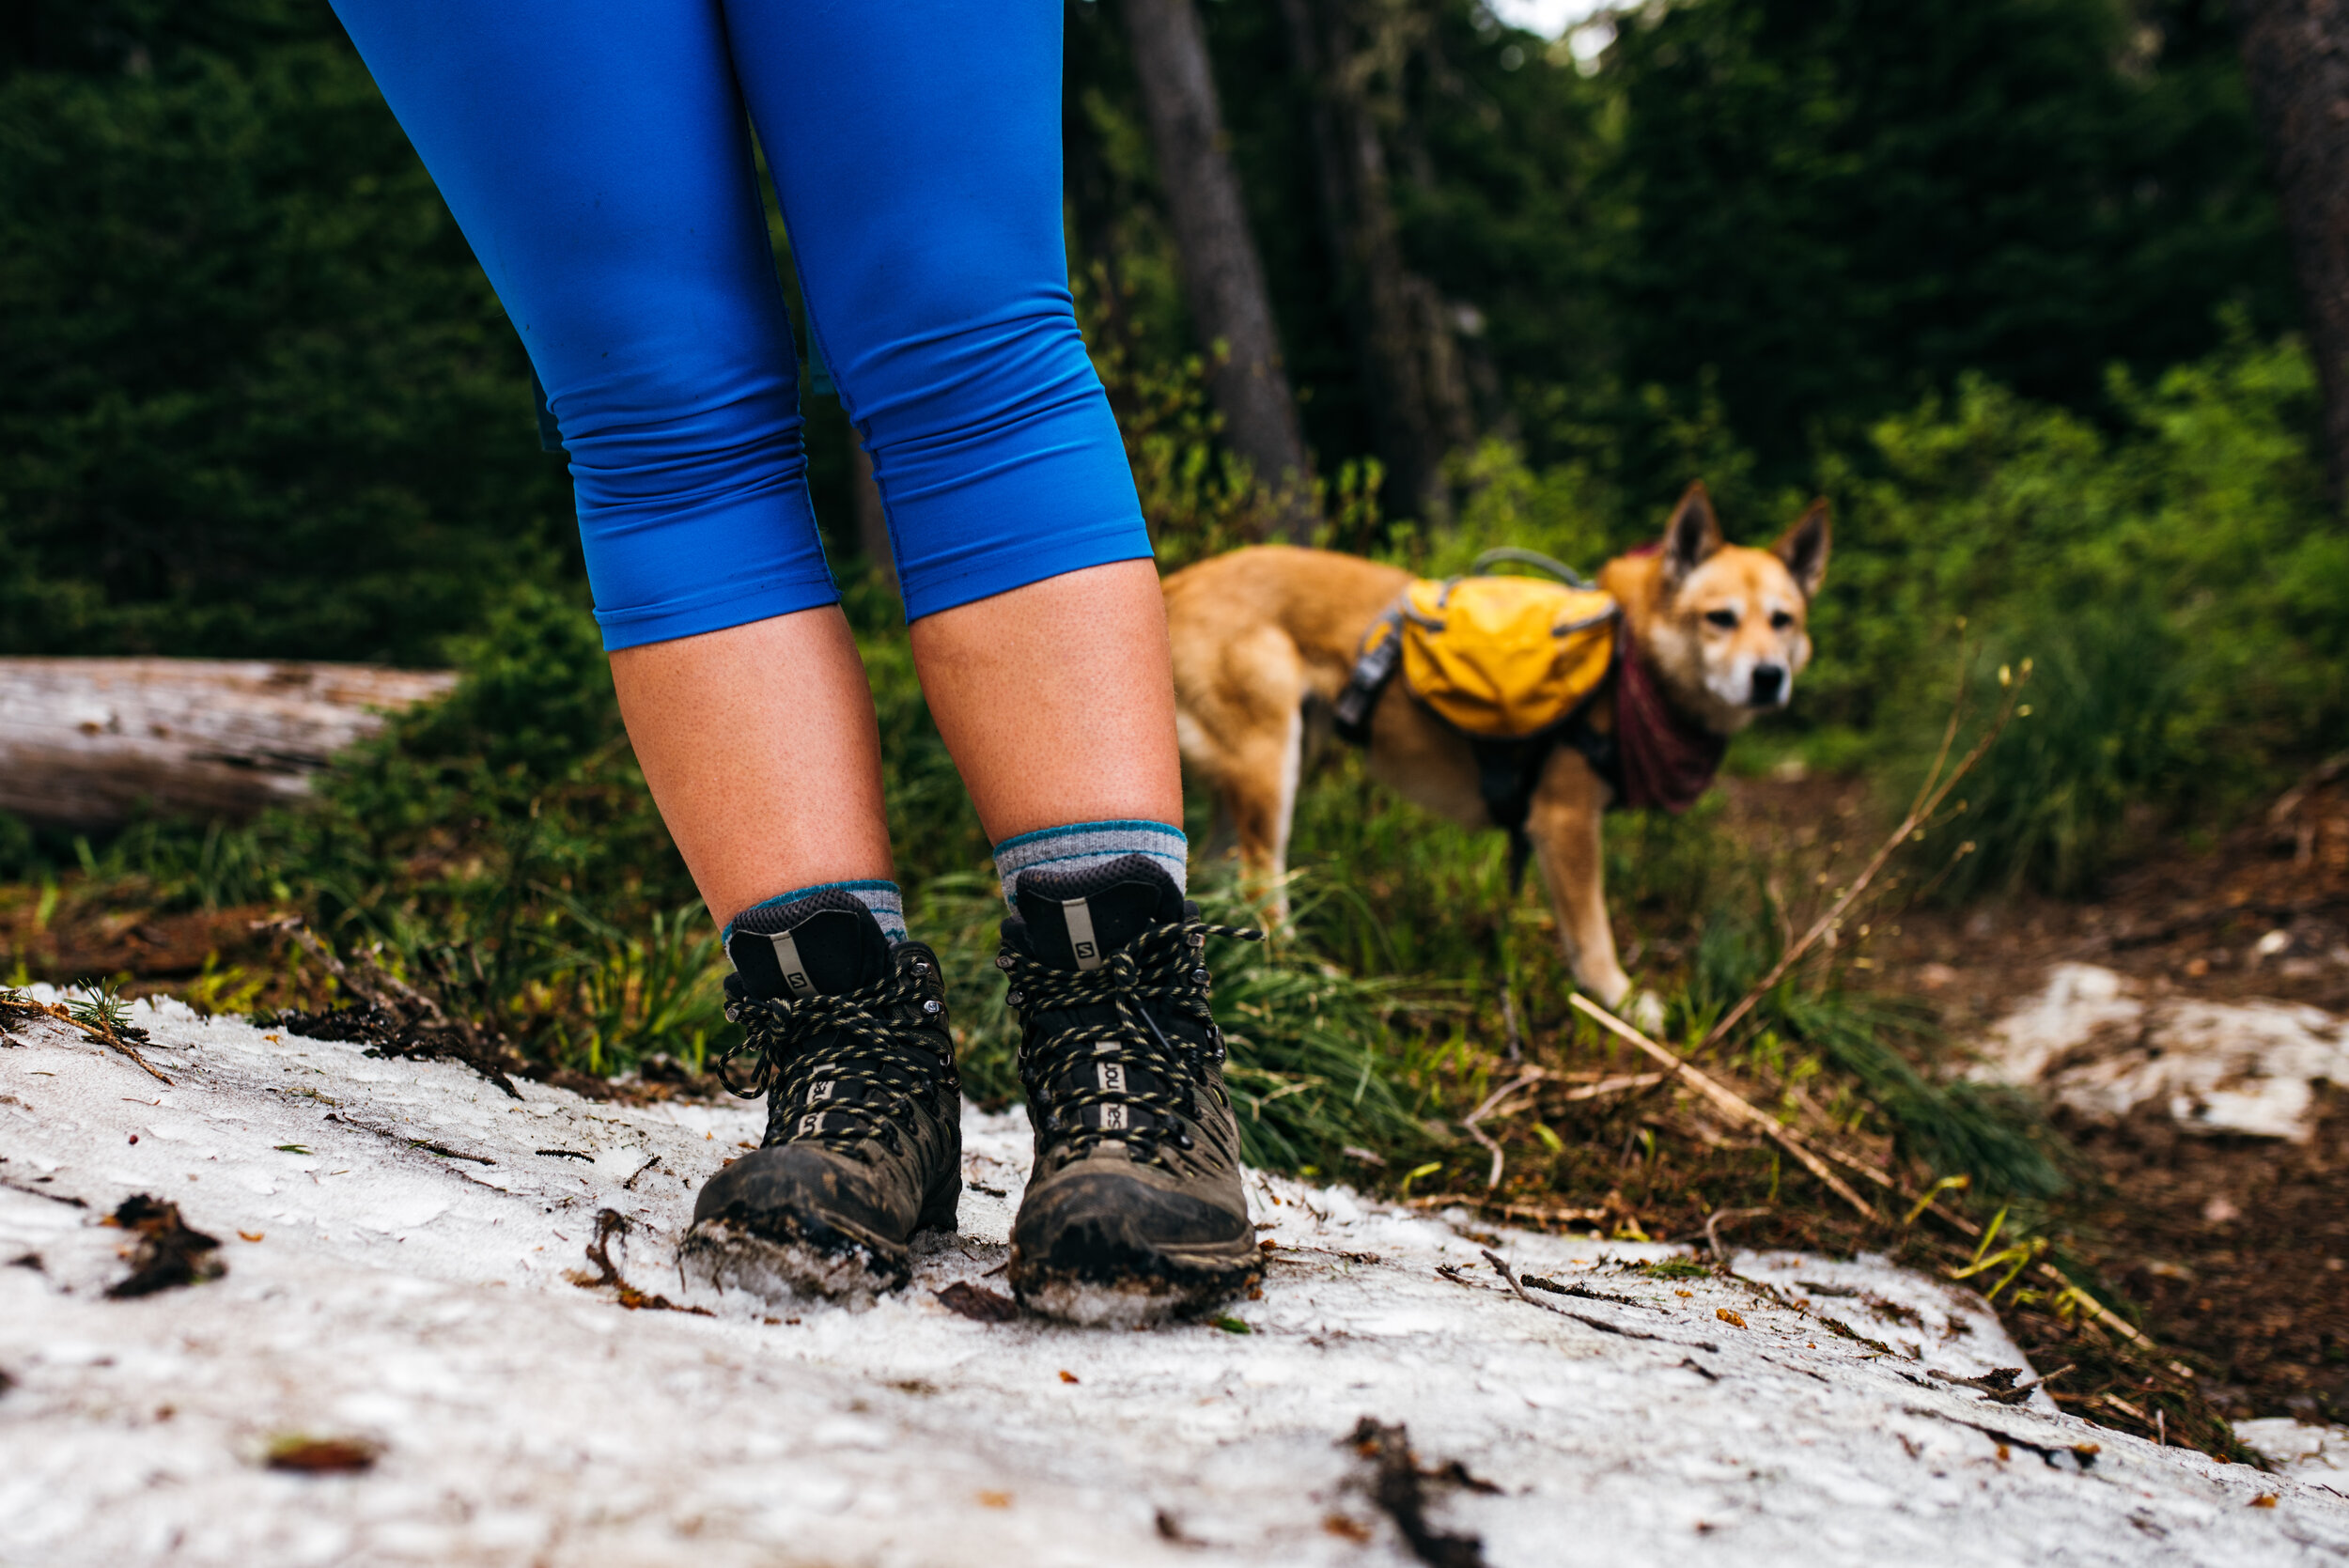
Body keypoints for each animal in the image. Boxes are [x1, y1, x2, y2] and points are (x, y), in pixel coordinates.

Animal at [1165, 483, 1823, 1023]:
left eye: (1783, 621)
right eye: (1720, 618)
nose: (1769, 677)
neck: (1631, 662)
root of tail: (1176, 580)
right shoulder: (1563, 822)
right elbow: (1592, 936)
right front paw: (1621, 1002)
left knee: (1223, 880)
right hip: (1272, 769)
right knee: (1260, 890)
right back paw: (1310, 983)